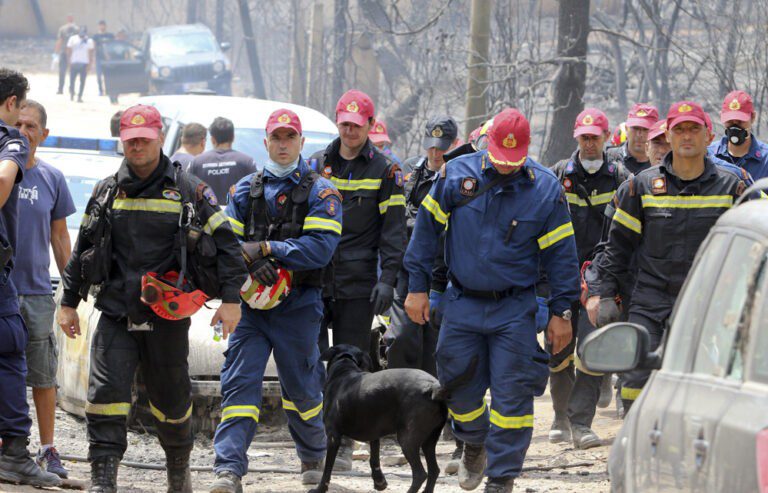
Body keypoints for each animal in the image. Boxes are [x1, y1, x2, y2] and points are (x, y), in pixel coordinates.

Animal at [308, 342, 476, 492]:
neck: (345, 366)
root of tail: (433, 387)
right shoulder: (373, 434)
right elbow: (374, 459)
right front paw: (379, 482)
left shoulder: (333, 437)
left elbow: (327, 469)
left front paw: (320, 489)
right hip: (429, 440)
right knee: (434, 471)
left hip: (407, 440)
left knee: (420, 474)